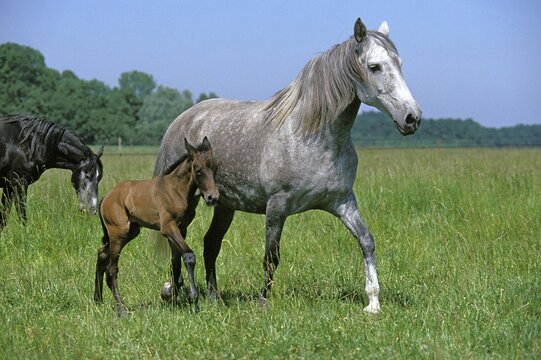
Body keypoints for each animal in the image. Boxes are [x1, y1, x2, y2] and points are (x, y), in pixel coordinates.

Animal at [94, 137, 218, 316]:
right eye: (198, 170)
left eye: (215, 168)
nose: (213, 197)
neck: (175, 190)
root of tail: (106, 198)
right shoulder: (168, 227)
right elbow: (188, 255)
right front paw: (193, 299)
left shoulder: (181, 229)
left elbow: (175, 262)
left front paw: (173, 298)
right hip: (118, 233)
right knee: (112, 269)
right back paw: (122, 309)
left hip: (131, 232)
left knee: (102, 253)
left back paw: (97, 299)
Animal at [154, 18, 420, 314]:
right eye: (374, 67)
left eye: (399, 63)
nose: (412, 118)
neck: (314, 137)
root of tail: (181, 121)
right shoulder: (277, 206)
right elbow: (271, 255)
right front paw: (263, 302)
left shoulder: (343, 202)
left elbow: (366, 241)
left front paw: (373, 302)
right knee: (178, 242)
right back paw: (174, 293)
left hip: (224, 205)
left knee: (210, 243)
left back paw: (214, 297)